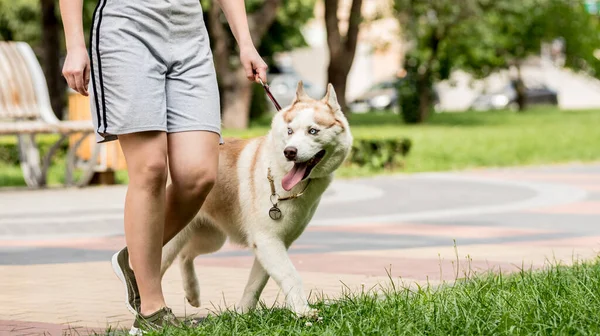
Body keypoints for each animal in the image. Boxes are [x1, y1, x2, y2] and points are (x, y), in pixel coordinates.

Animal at [162, 82, 354, 318]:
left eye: (313, 131)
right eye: (290, 131)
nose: (290, 152)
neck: (280, 175)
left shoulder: (273, 244)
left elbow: (255, 285)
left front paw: (243, 315)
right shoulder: (267, 240)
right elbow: (291, 275)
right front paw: (303, 311)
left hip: (213, 239)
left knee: (186, 255)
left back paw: (193, 293)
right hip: (172, 240)